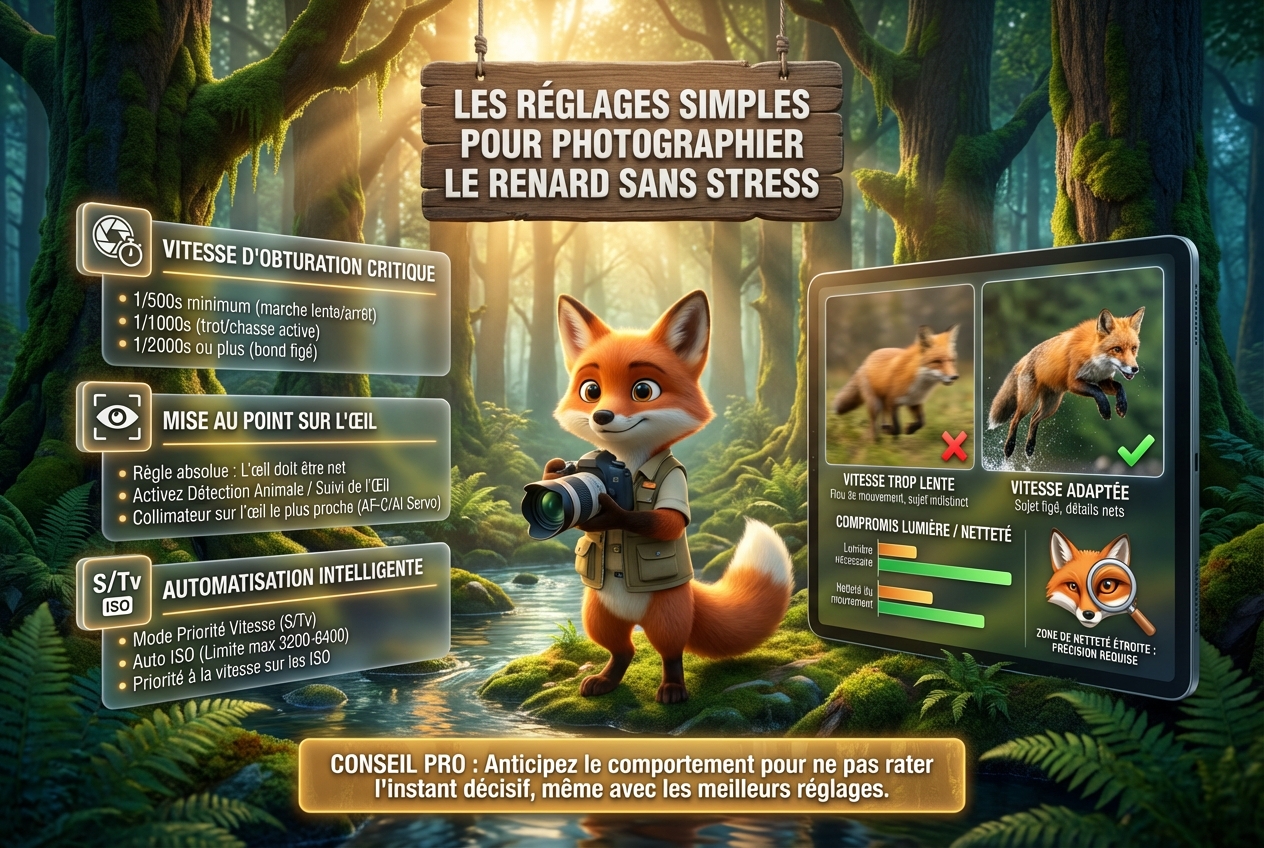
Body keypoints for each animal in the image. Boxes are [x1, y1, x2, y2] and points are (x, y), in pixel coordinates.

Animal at [545, 290, 793, 704]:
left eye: (643, 390)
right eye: (591, 390)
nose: (602, 416)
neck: (623, 464)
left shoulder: (676, 480)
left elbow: (667, 521)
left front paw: (613, 512)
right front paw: (553, 474)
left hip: (667, 612)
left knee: (670, 651)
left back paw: (673, 688)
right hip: (597, 613)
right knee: (622, 649)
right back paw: (605, 680)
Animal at [832, 325, 961, 440]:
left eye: (951, 361)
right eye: (937, 361)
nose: (954, 377)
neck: (919, 385)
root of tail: (867, 359)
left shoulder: (915, 402)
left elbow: (921, 422)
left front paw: (909, 429)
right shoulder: (892, 402)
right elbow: (897, 428)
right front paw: (894, 441)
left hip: (882, 403)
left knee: (881, 422)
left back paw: (883, 430)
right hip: (875, 404)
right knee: (873, 425)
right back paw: (875, 441)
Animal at [988, 307, 1145, 458]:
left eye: (1133, 348)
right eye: (1117, 349)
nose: (1134, 369)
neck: (1094, 357)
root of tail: (1025, 357)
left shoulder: (1103, 381)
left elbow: (1120, 387)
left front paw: (1122, 406)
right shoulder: (1073, 382)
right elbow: (1098, 392)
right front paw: (1105, 410)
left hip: (1051, 405)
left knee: (1034, 419)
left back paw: (1030, 448)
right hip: (1028, 401)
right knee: (1014, 419)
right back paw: (1009, 448)